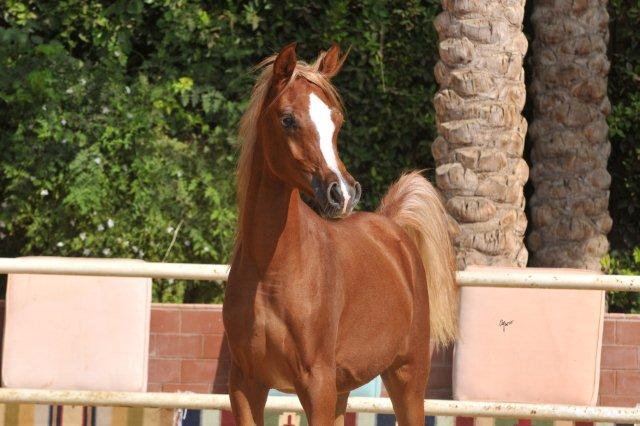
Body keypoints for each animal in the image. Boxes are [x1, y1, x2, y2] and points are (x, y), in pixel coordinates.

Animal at [223, 42, 458, 426]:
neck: (272, 273)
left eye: (336, 121)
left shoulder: (316, 385)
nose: (343, 193)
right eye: (287, 119)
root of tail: (391, 227)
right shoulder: (245, 384)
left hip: (407, 376)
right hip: (343, 388)